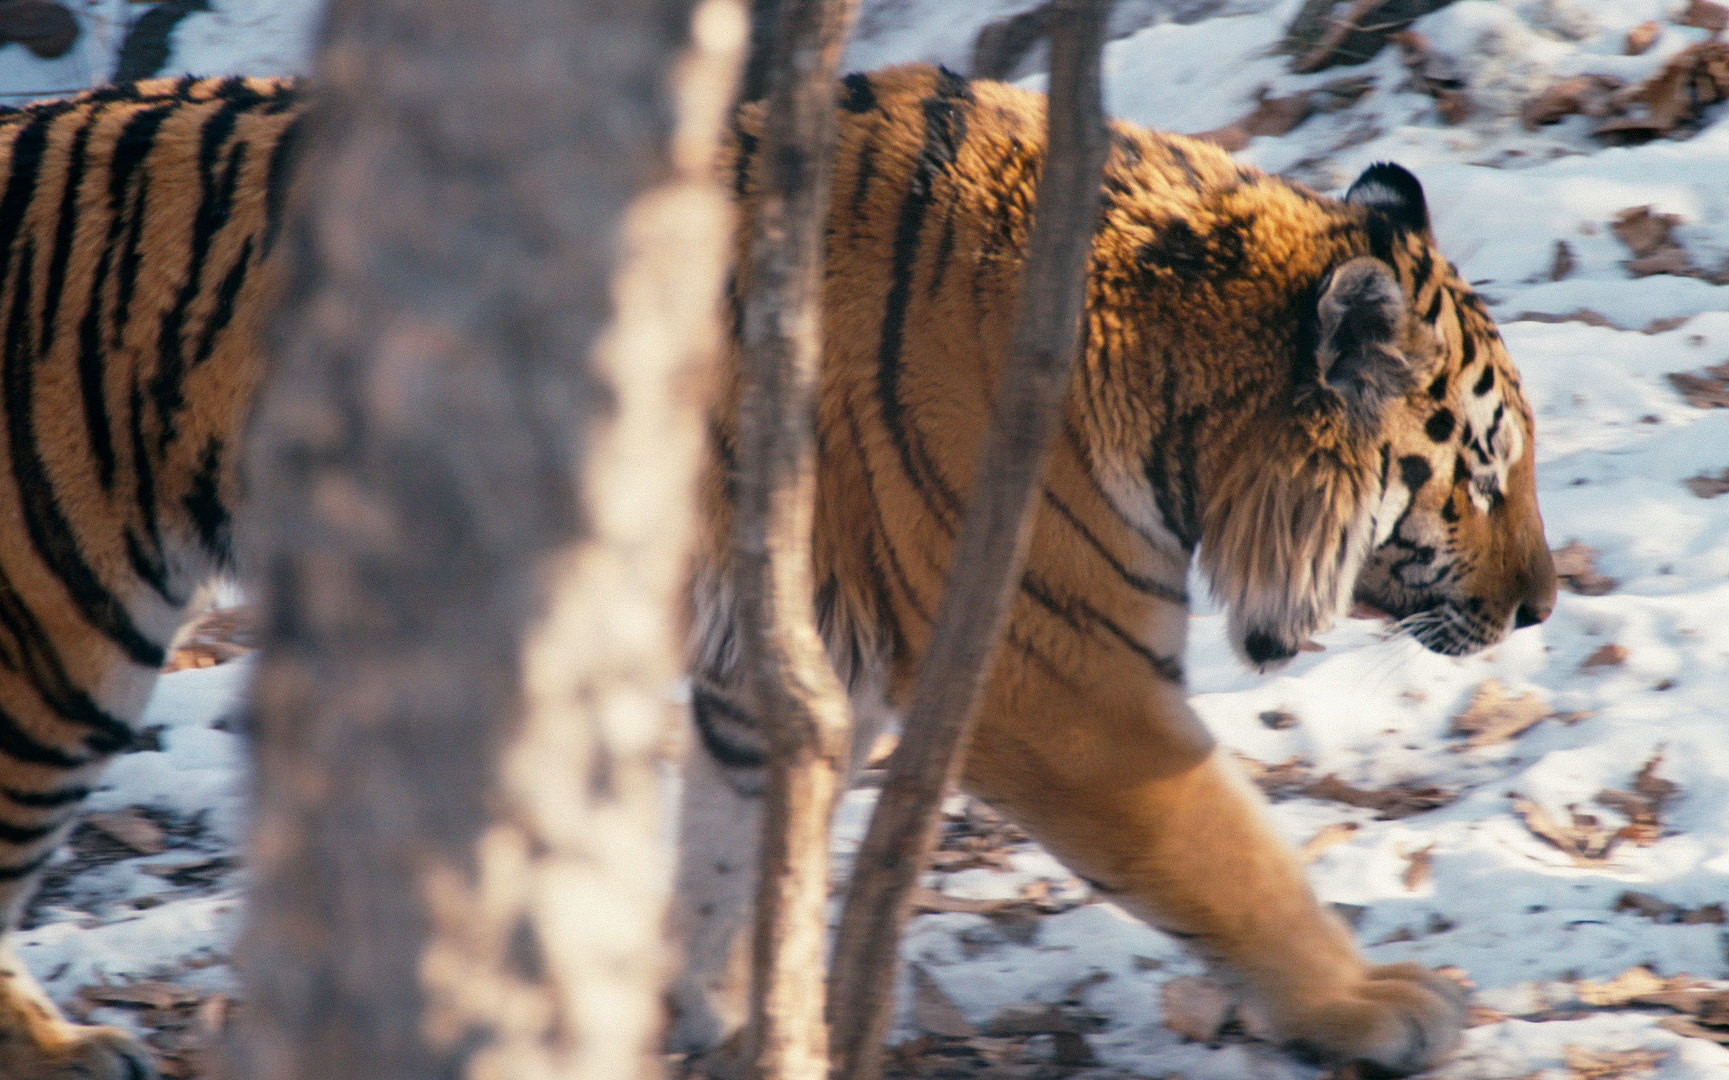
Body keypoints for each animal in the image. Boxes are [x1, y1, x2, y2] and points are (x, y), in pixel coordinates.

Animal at [667, 63, 1563, 1071]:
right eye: (1483, 475)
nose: (1541, 606)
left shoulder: (783, 665)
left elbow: (730, 846)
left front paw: (724, 1017)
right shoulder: (1062, 686)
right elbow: (1234, 864)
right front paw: (1367, 1003)